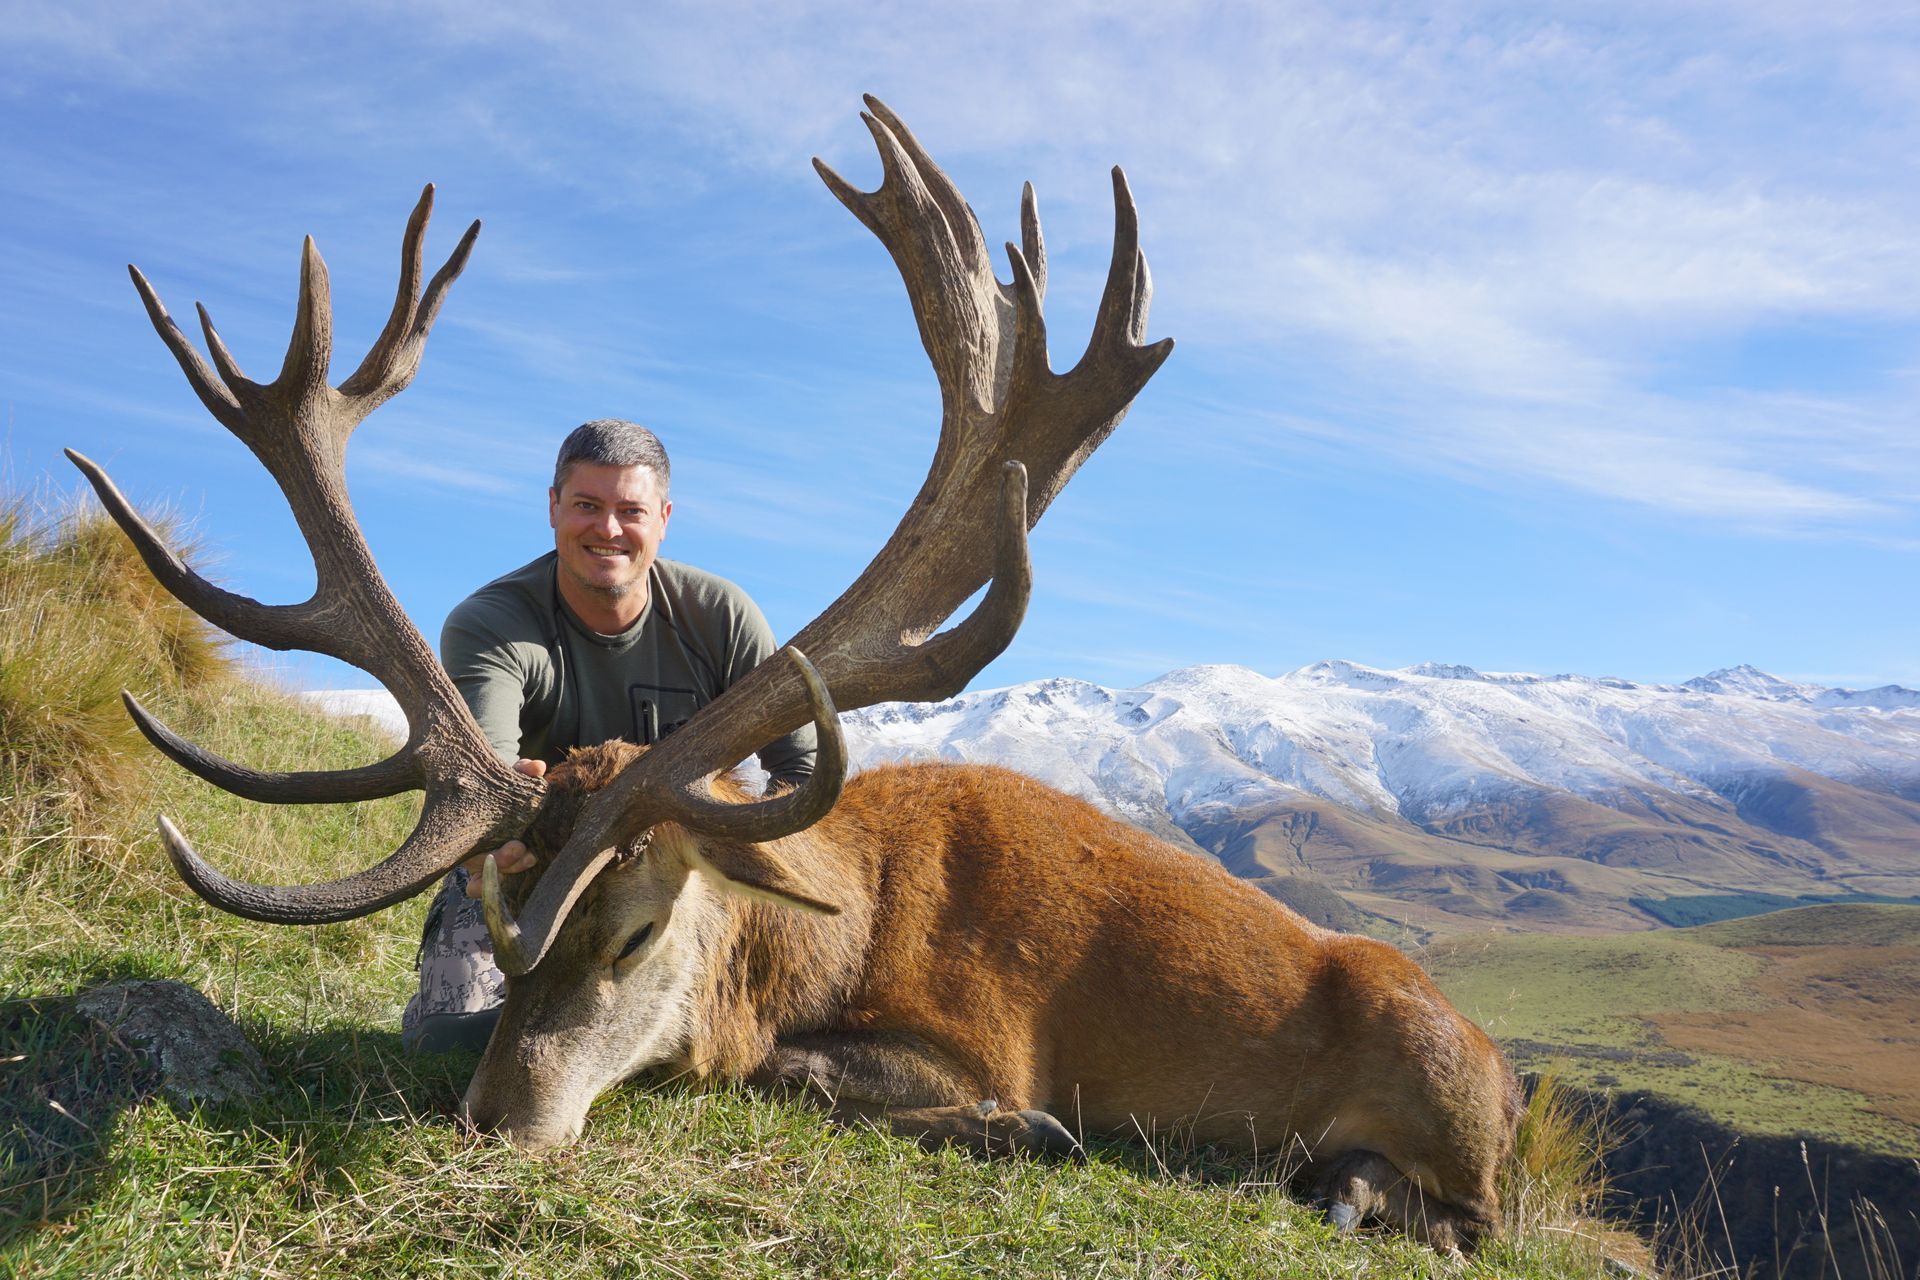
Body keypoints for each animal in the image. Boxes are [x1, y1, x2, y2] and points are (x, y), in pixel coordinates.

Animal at [71, 97, 1520, 1252]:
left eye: (637, 929)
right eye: (496, 902)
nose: (493, 1120)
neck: (813, 937)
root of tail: (1504, 1070)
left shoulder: (985, 1034)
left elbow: (803, 1072)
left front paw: (1021, 1130)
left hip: (1455, 1111)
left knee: (1472, 1219)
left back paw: (1353, 1188)